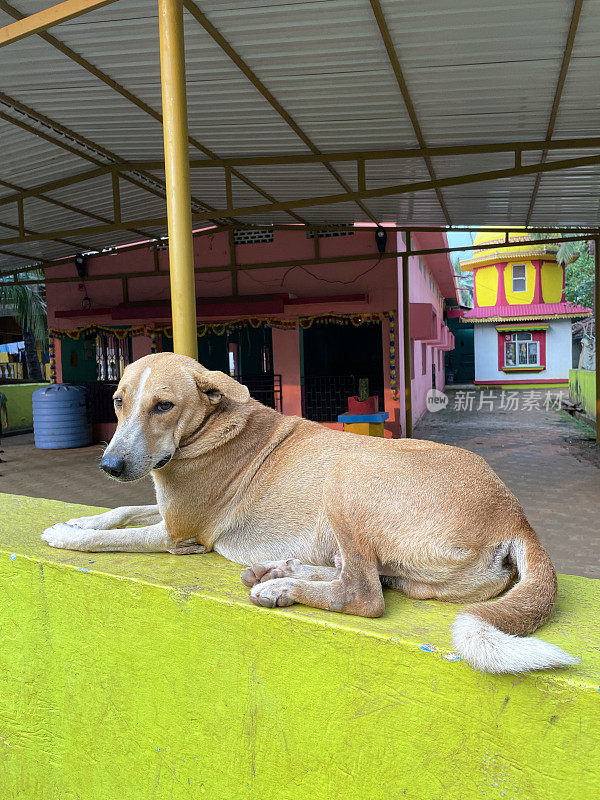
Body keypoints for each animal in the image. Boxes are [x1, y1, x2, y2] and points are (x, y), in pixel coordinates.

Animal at [42, 354, 576, 672]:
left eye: (163, 406)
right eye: (117, 402)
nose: (110, 465)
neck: (211, 427)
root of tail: (514, 516)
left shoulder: (177, 532)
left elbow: (106, 539)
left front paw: (64, 534)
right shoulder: (162, 509)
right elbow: (119, 511)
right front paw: (81, 518)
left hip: (347, 474)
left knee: (364, 596)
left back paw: (280, 586)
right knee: (367, 577)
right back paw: (280, 571)